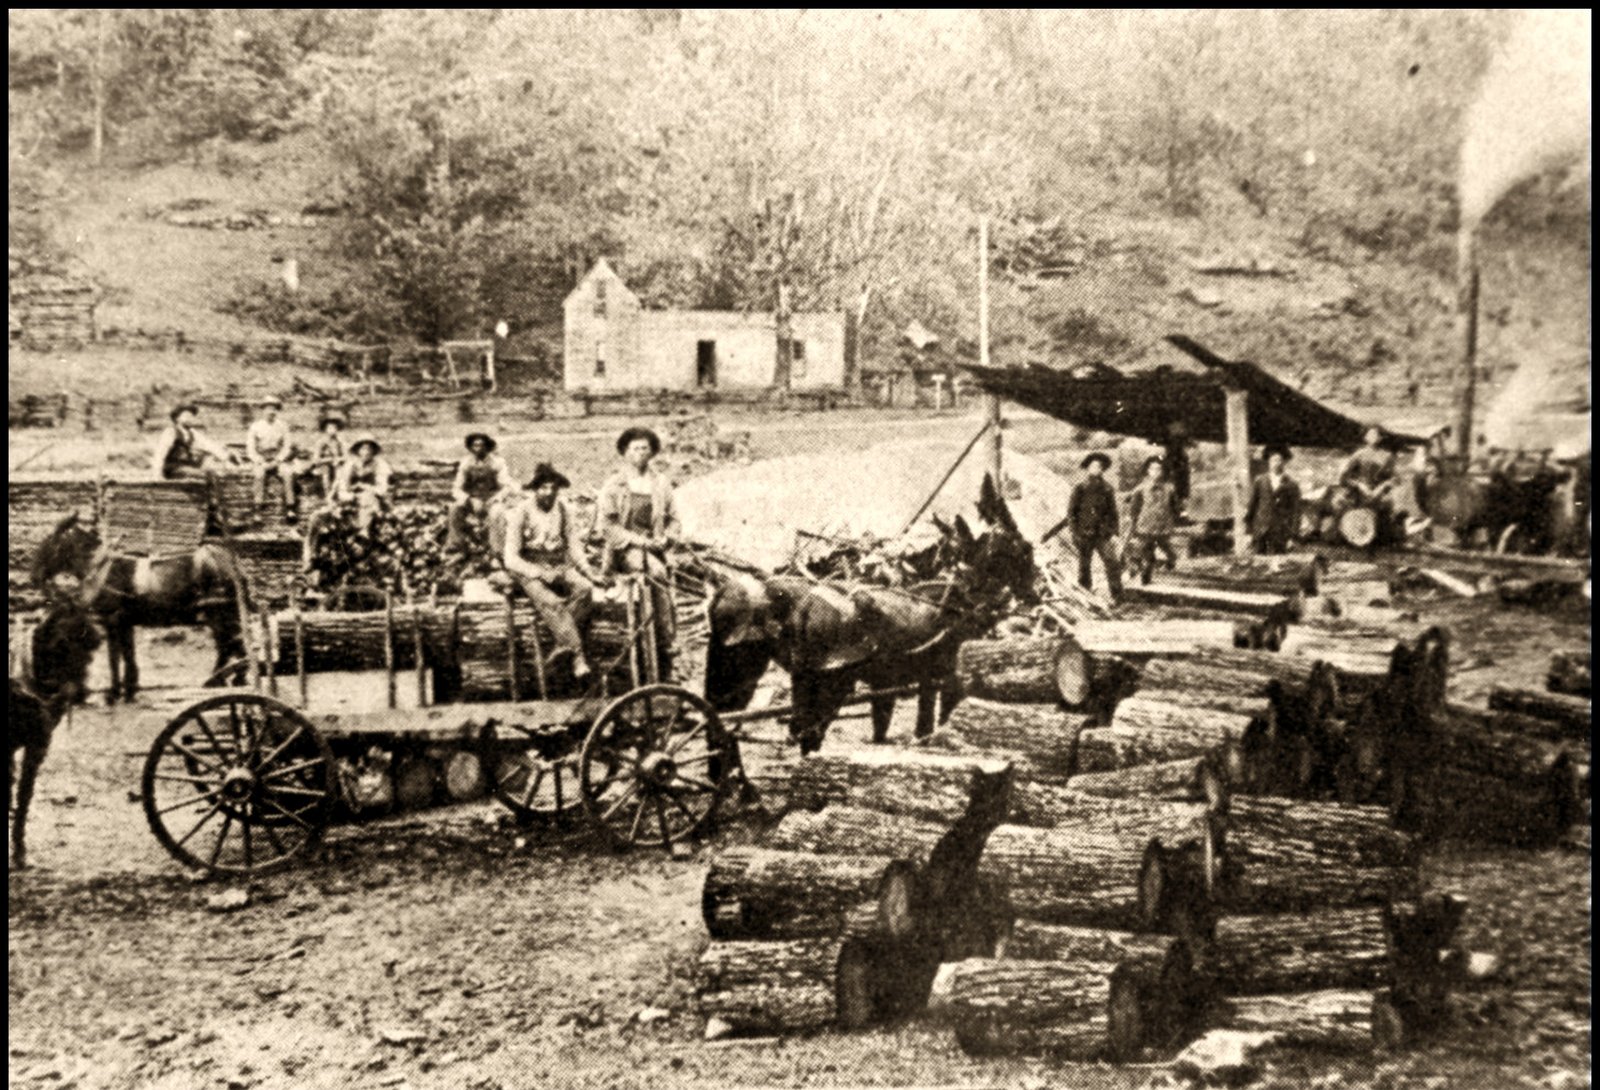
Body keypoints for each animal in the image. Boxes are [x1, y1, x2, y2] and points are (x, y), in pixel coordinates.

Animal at [10, 595, 103, 868]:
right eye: (59, 643)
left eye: (93, 644)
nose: (80, 694)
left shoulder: (36, 744)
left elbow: (24, 794)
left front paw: (19, 851)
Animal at [33, 513, 255, 702]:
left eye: (50, 542)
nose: (35, 576)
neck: (103, 570)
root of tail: (231, 563)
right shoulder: (125, 622)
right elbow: (127, 654)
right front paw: (130, 689)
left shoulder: (112, 620)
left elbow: (114, 657)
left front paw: (114, 693)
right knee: (233, 644)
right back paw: (230, 678)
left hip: (218, 614)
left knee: (229, 645)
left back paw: (222, 679)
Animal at [704, 475, 1039, 755]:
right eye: (1024, 548)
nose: (1033, 592)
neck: (952, 602)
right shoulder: (943, 676)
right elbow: (933, 719)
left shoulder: (905, 681)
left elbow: (893, 722)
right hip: (821, 679)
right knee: (807, 729)